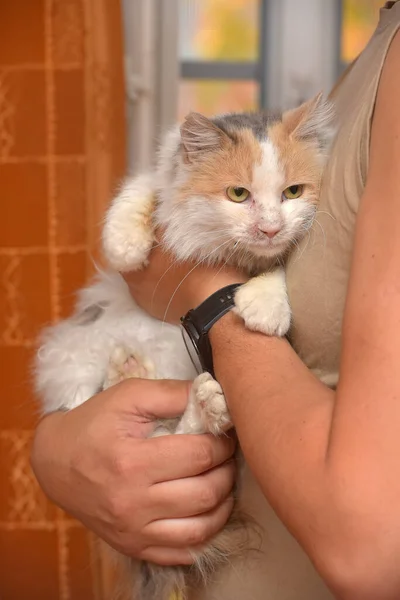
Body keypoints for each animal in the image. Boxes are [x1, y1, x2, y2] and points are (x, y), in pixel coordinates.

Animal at [34, 92, 334, 600]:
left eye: (293, 193)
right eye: (238, 195)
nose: (270, 228)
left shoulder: (280, 252)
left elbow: (275, 270)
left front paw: (263, 305)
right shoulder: (163, 173)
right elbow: (143, 188)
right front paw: (125, 243)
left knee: (180, 433)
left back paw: (203, 402)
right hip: (73, 359)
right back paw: (131, 371)